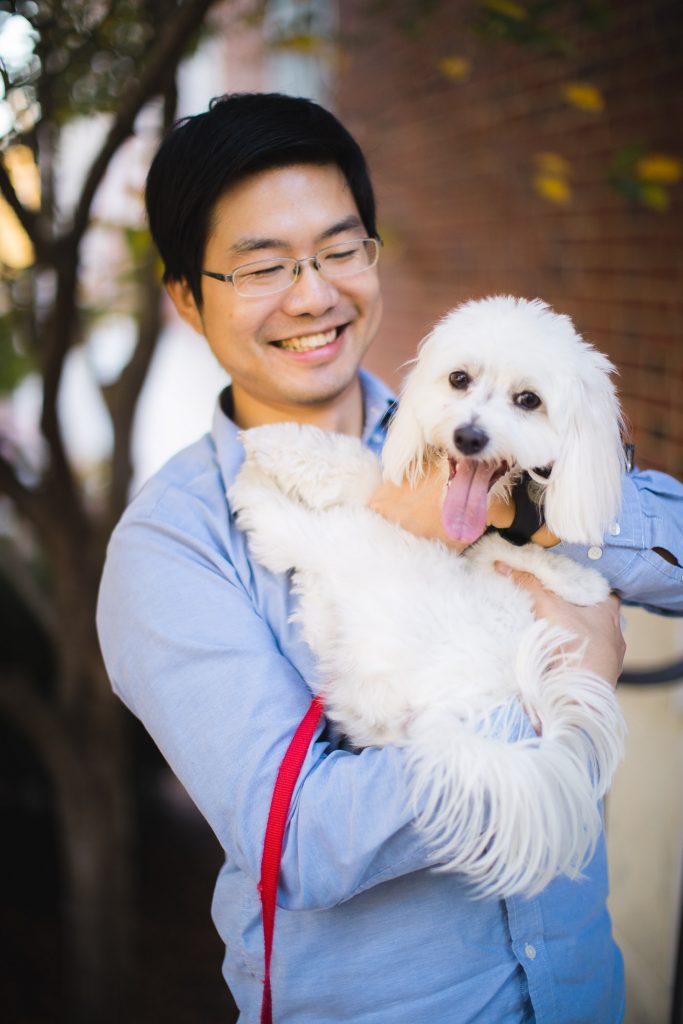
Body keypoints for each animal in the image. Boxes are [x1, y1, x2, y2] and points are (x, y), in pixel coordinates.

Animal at [231, 294, 630, 897]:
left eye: (529, 400)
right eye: (458, 379)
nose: (469, 437)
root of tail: (445, 710)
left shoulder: (401, 513)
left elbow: (358, 467)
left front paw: (276, 444)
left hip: (365, 552)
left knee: (294, 536)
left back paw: (252, 487)